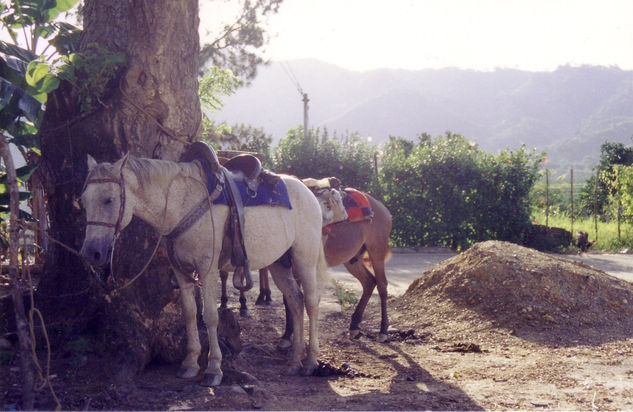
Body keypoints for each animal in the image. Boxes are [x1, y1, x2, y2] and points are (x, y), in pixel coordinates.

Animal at [79, 152, 326, 386]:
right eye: (83, 201)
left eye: (109, 200)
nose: (91, 253)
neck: (182, 204)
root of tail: (308, 192)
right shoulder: (182, 273)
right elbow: (190, 314)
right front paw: (190, 363)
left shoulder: (207, 270)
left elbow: (210, 316)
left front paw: (214, 369)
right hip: (279, 264)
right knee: (295, 301)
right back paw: (294, 360)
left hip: (304, 260)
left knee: (311, 303)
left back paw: (310, 361)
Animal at [220, 192, 392, 342]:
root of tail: (383, 209)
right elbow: (288, 297)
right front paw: (287, 335)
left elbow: (293, 298)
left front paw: (288, 335)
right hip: (352, 259)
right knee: (369, 282)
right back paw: (355, 326)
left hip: (377, 251)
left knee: (382, 285)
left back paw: (383, 330)